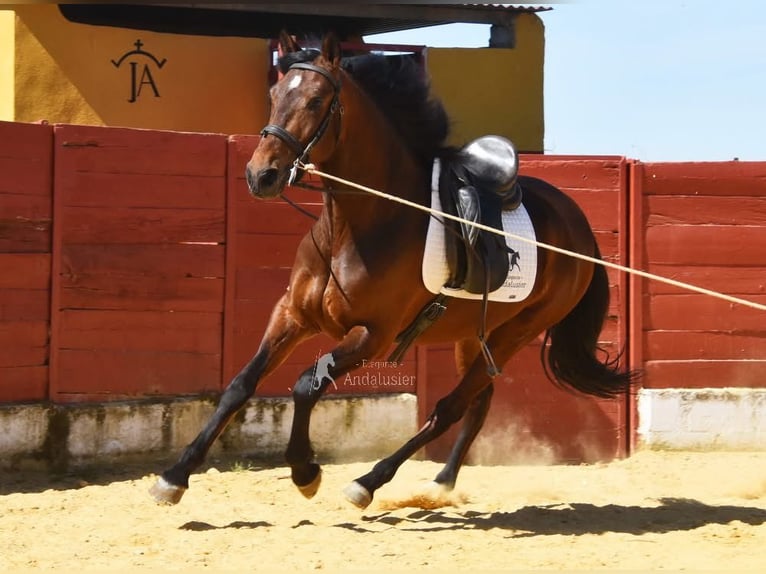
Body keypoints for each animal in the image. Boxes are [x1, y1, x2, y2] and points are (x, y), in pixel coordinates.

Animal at [150, 31, 636, 509]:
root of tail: (579, 225)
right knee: (478, 402)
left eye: (316, 100)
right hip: (473, 335)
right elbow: (240, 384)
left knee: (449, 408)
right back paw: (440, 483)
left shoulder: (373, 334)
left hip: (518, 332)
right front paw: (174, 477)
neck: (358, 223)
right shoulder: (292, 315)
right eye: (274, 94)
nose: (261, 175)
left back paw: (369, 482)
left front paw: (305, 471)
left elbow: (307, 385)